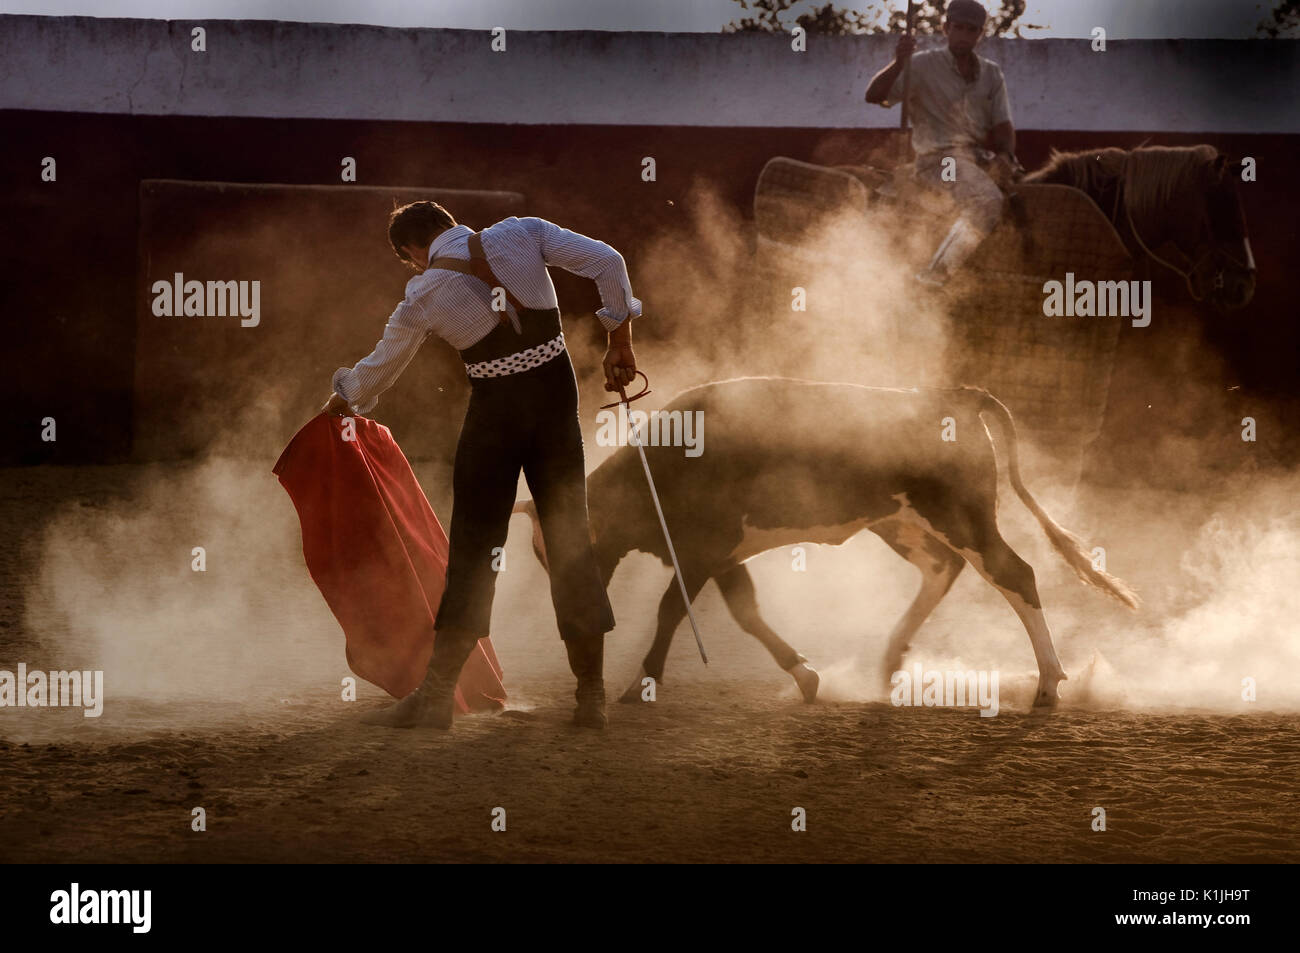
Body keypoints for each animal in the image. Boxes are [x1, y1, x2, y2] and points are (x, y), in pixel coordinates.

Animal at [512, 374, 1133, 712]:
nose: (566, 612)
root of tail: (953, 396)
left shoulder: (703, 548)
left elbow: (671, 609)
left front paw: (642, 681)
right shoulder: (722, 556)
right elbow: (746, 612)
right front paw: (805, 674)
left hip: (964, 517)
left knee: (1015, 574)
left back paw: (1049, 685)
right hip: (898, 522)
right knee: (942, 569)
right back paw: (890, 658)